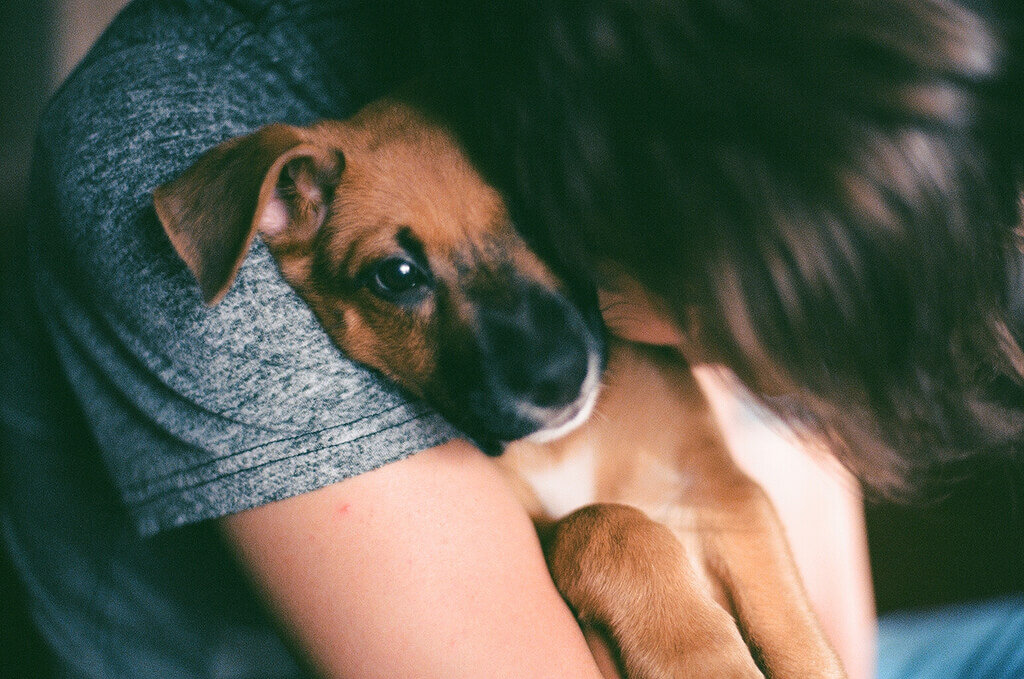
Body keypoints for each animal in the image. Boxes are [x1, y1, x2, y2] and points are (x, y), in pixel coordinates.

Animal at [153, 99, 847, 679]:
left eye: (540, 214)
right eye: (396, 275)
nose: (559, 378)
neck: (561, 448)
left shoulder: (721, 492)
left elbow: (791, 633)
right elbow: (601, 522)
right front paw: (701, 660)